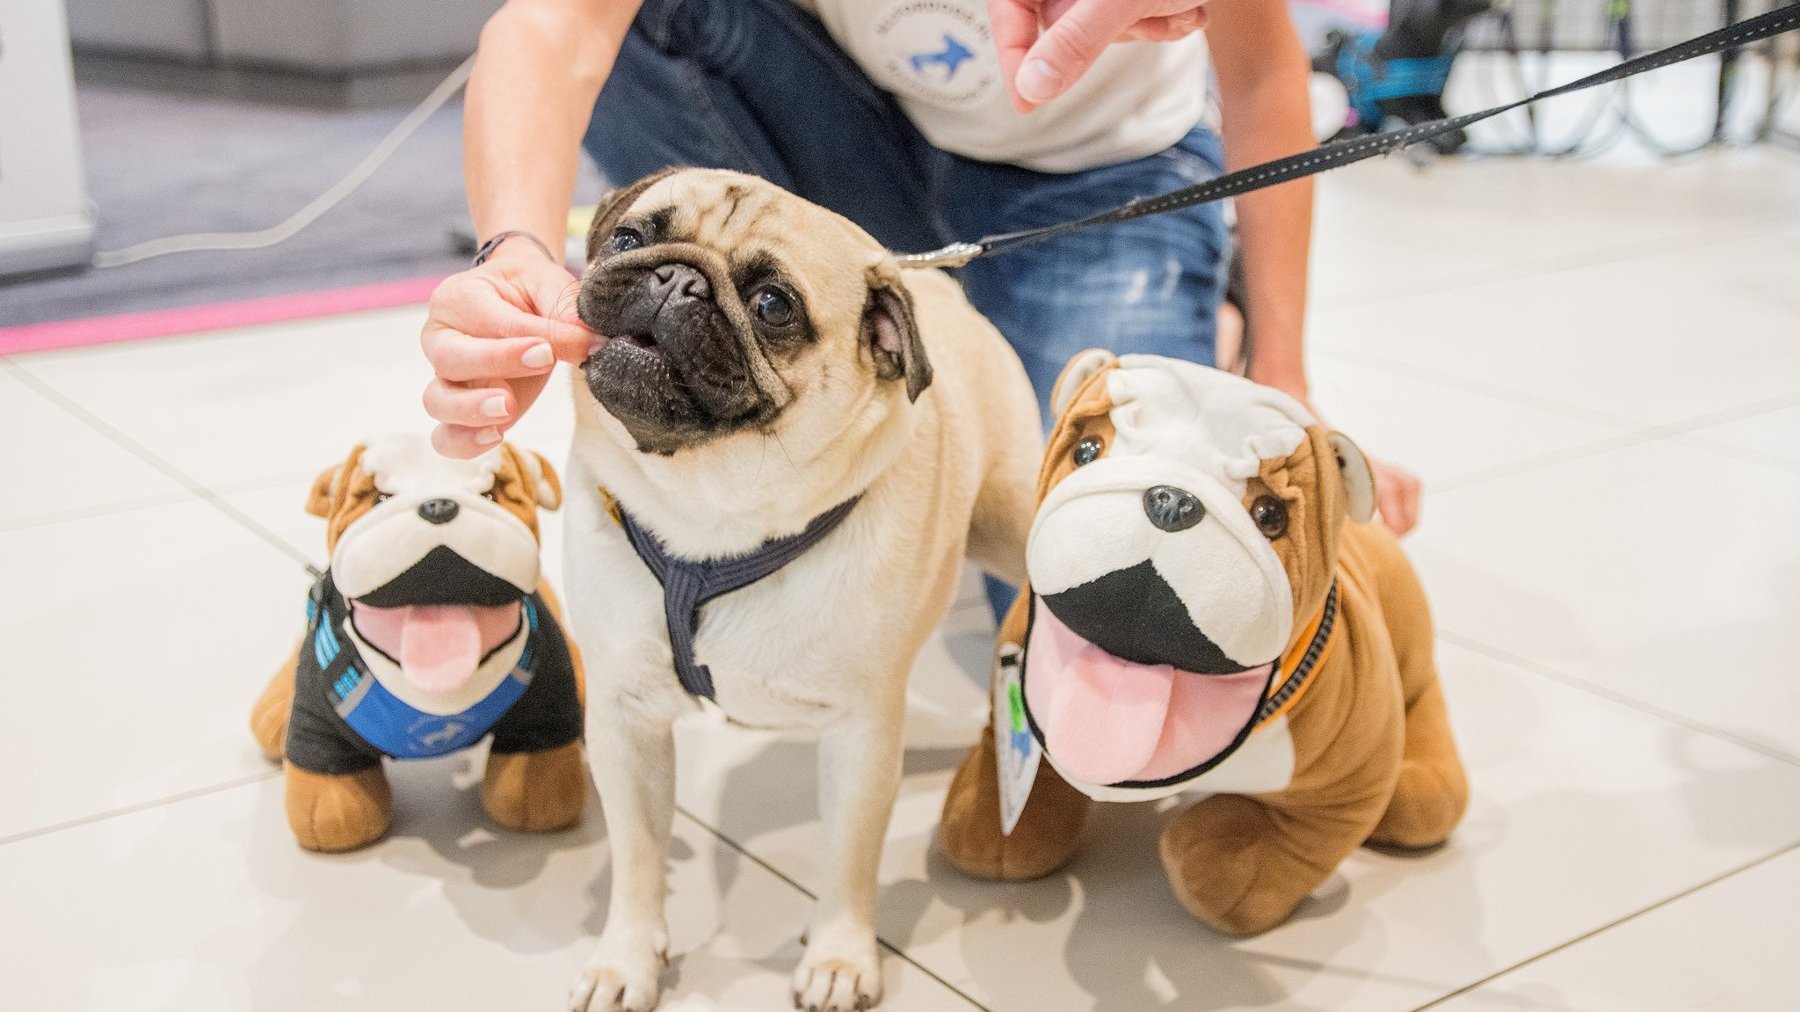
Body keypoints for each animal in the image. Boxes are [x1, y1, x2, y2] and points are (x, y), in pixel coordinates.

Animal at [561, 167, 1044, 1008]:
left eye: (772, 306)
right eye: (628, 237)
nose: (675, 277)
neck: (711, 512)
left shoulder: (861, 733)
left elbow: (849, 856)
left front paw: (841, 956)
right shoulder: (624, 720)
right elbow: (637, 853)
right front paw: (626, 959)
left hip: (1012, 519)